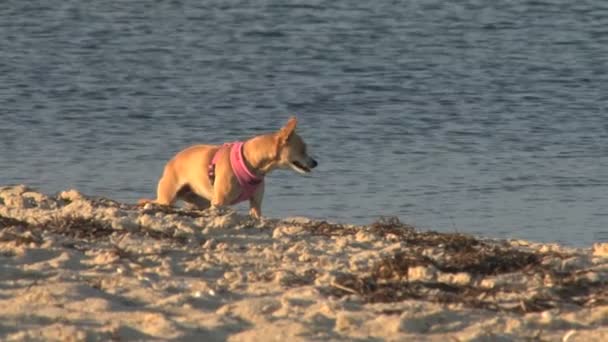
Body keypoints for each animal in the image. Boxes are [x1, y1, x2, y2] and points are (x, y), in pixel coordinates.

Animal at [138, 117, 318, 219]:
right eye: (303, 150)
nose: (315, 162)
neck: (250, 162)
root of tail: (171, 161)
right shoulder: (219, 203)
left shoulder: (256, 204)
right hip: (168, 197)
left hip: (200, 201)